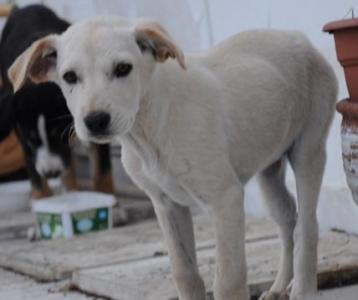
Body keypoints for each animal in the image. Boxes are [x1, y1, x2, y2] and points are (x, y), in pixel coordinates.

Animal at [0, 5, 114, 199]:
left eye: (57, 134)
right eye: (31, 139)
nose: (51, 173)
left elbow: (103, 172)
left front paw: (109, 199)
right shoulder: (23, 138)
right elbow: (36, 176)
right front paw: (42, 199)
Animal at [9, 18, 338, 300]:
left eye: (123, 68)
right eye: (69, 77)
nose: (95, 121)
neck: (149, 130)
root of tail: (298, 37)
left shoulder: (226, 199)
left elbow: (228, 279)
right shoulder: (166, 204)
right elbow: (185, 273)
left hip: (308, 149)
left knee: (307, 224)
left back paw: (303, 288)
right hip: (269, 169)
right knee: (288, 217)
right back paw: (280, 285)